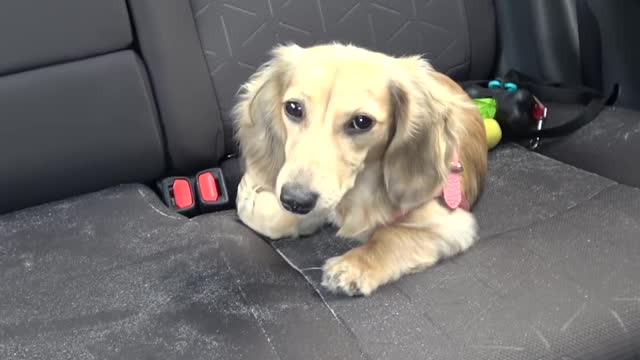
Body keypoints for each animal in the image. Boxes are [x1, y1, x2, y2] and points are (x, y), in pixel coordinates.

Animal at [232, 43, 488, 296]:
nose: (295, 201)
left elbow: (390, 235)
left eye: (362, 121)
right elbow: (273, 219)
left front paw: (353, 265)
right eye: (293, 108)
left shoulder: (451, 221)